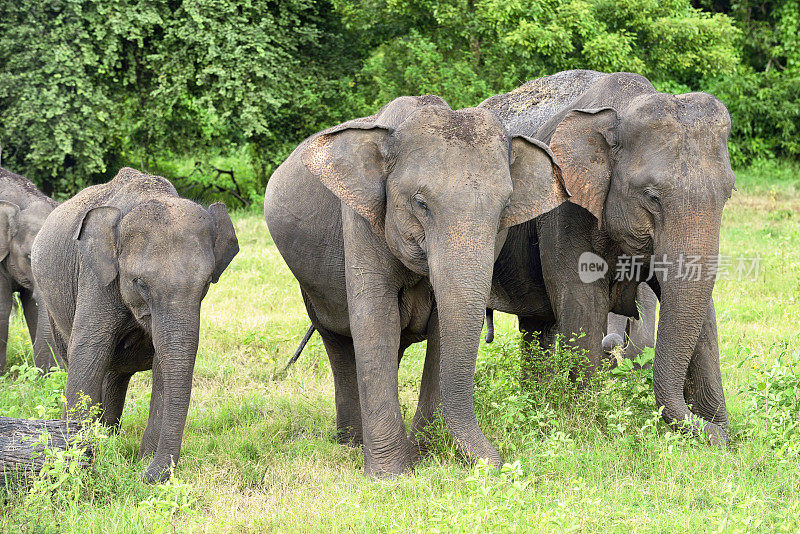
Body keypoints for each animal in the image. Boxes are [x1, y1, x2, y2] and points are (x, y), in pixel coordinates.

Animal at [32, 169, 238, 486]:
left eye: (206, 283)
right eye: (139, 282)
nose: (144, 477)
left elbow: (164, 365)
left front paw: (142, 462)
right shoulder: (97, 277)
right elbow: (88, 353)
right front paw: (74, 460)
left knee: (114, 375)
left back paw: (108, 438)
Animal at [266, 95, 572, 478]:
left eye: (505, 207)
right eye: (421, 203)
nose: (497, 464)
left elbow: (443, 329)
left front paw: (425, 454)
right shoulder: (361, 220)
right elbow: (375, 320)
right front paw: (393, 476)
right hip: (312, 288)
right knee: (338, 342)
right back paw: (350, 444)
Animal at [482, 72, 736, 448]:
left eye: (728, 193)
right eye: (652, 197)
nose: (713, 430)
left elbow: (704, 317)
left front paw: (723, 437)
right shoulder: (564, 208)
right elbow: (584, 308)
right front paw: (590, 427)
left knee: (536, 327)